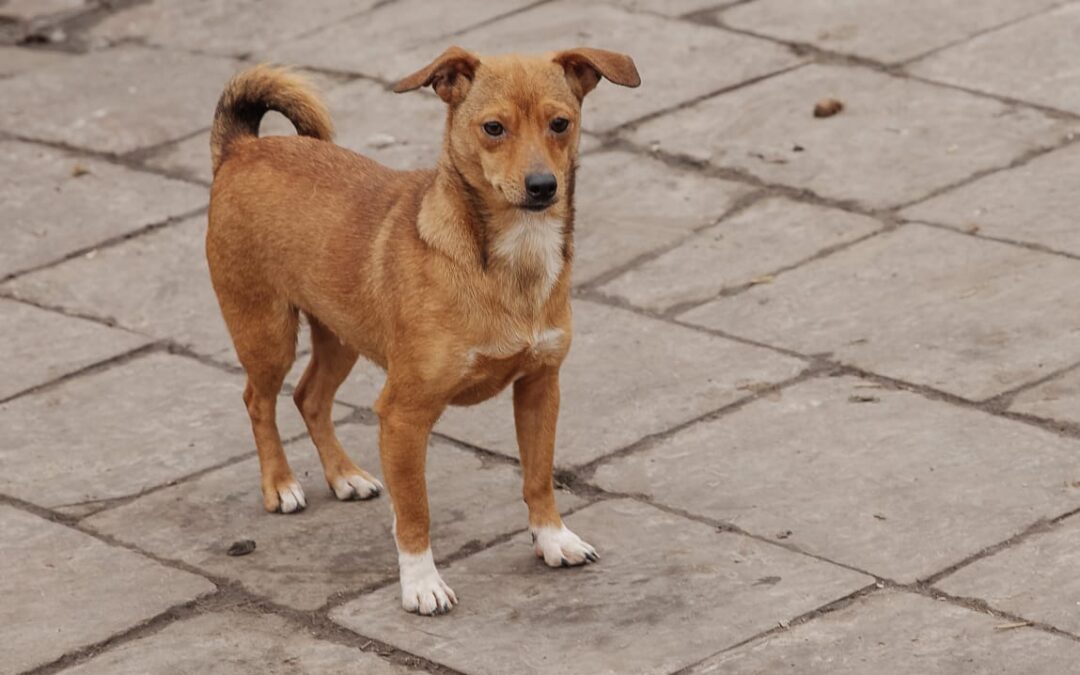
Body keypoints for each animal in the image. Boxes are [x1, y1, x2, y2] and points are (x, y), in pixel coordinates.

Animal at [206, 47, 635, 613]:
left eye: (560, 124)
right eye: (493, 128)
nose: (543, 186)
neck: (511, 258)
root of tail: (242, 148)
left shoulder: (540, 387)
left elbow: (539, 476)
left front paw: (552, 538)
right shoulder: (403, 415)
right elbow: (415, 511)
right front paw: (420, 583)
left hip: (341, 335)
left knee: (309, 396)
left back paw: (344, 477)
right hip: (267, 333)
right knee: (259, 399)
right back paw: (280, 485)